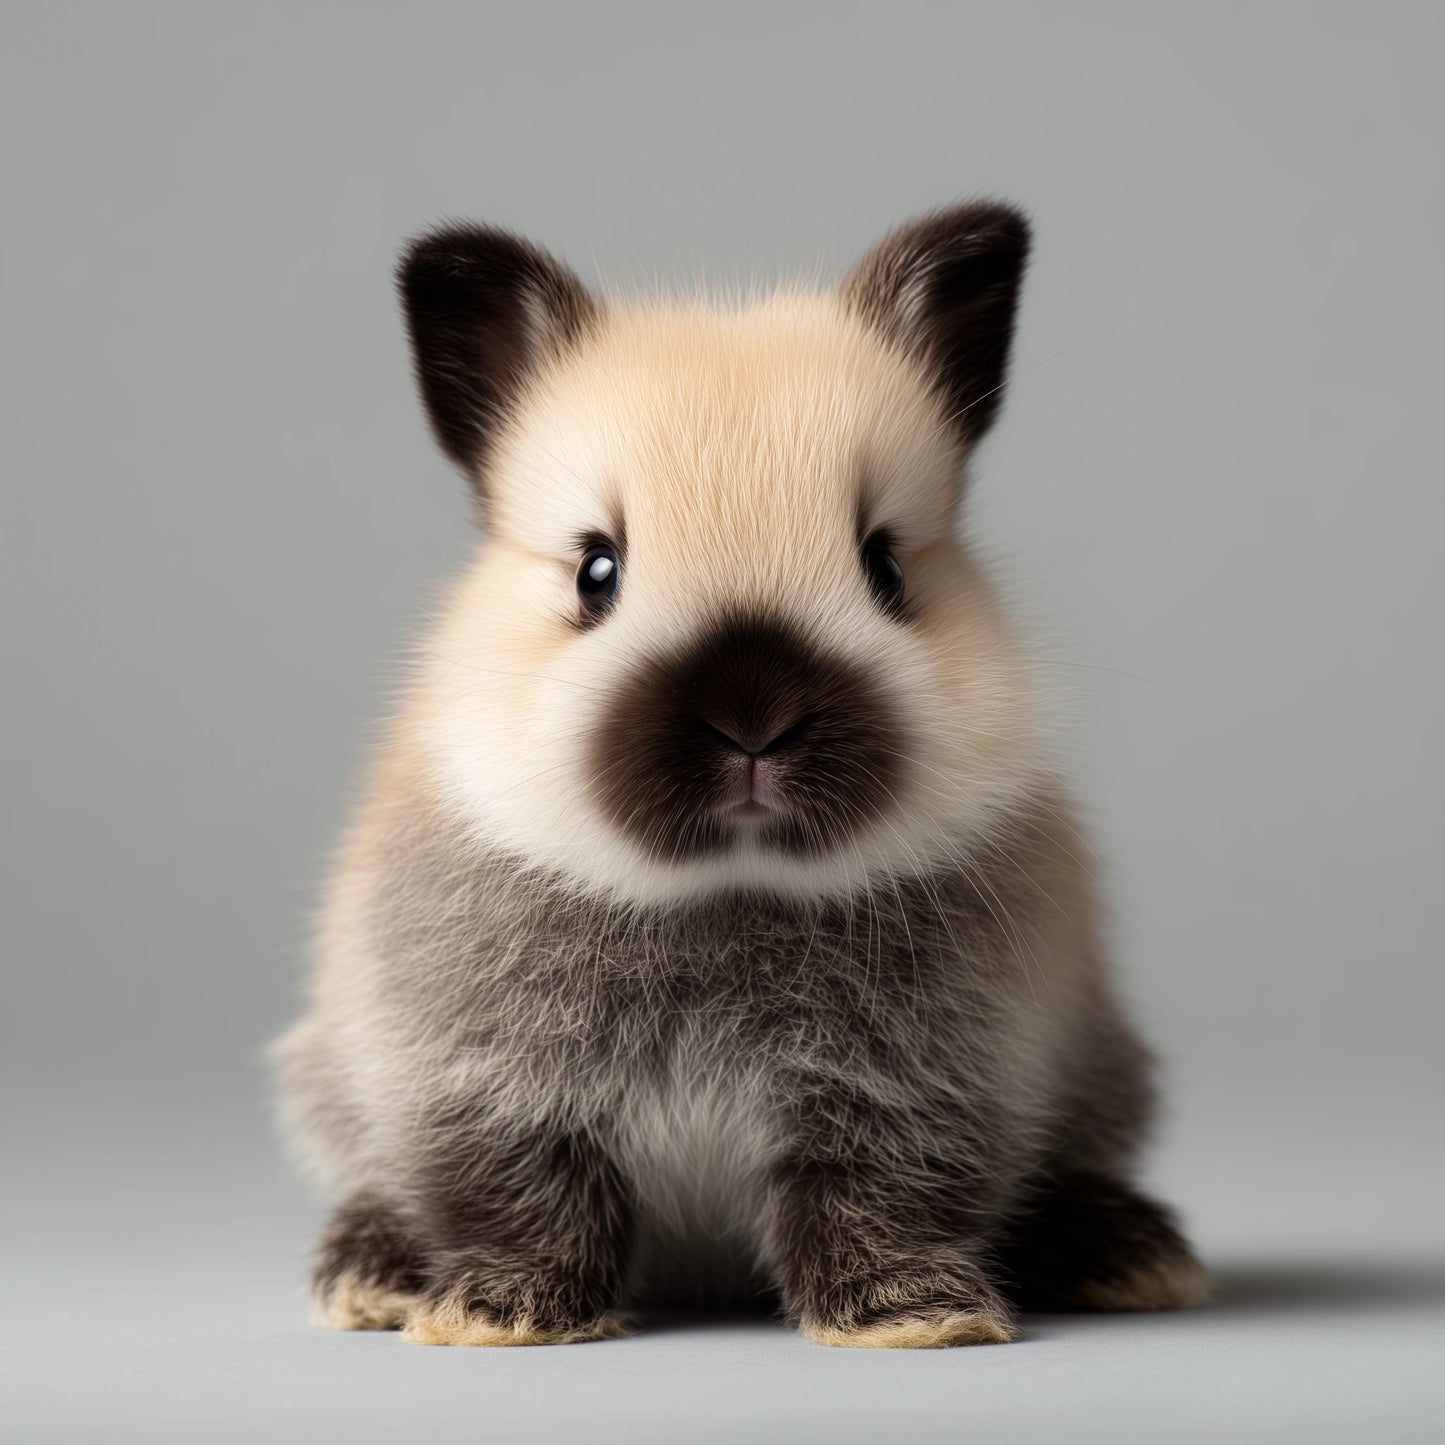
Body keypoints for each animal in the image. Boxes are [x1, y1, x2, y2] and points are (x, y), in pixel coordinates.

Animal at [272, 202, 1208, 1348]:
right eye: (595, 572)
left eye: (886, 566)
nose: (752, 714)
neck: (728, 892)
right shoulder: (480, 1083)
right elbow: (522, 1195)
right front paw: (499, 1312)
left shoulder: (918, 1090)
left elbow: (877, 1194)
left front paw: (910, 1316)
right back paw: (369, 1274)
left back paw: (1130, 1254)